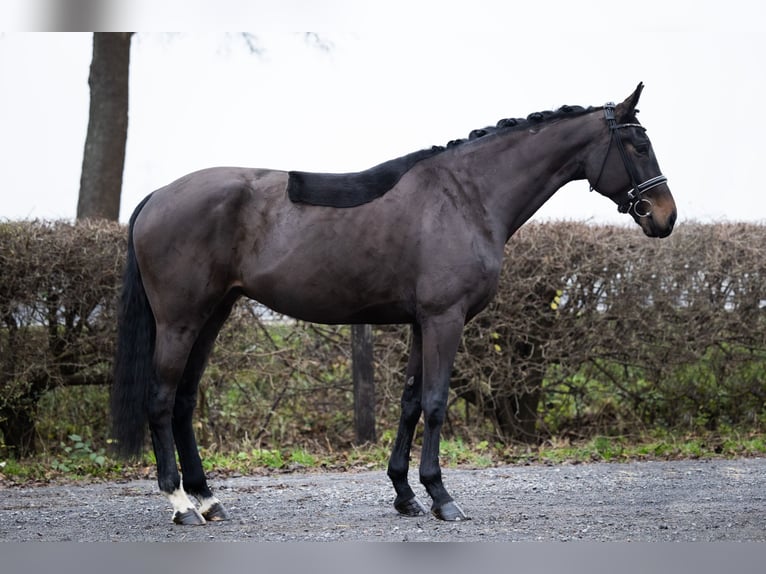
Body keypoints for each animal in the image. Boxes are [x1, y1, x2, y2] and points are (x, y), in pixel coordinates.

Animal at [109, 83, 680, 528]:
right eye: (637, 144)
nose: (664, 216)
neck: (466, 196)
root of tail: (158, 196)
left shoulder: (420, 323)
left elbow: (409, 403)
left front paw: (406, 494)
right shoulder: (445, 319)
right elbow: (436, 403)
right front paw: (442, 497)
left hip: (213, 315)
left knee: (184, 402)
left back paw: (208, 500)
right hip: (180, 321)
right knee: (161, 400)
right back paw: (181, 504)